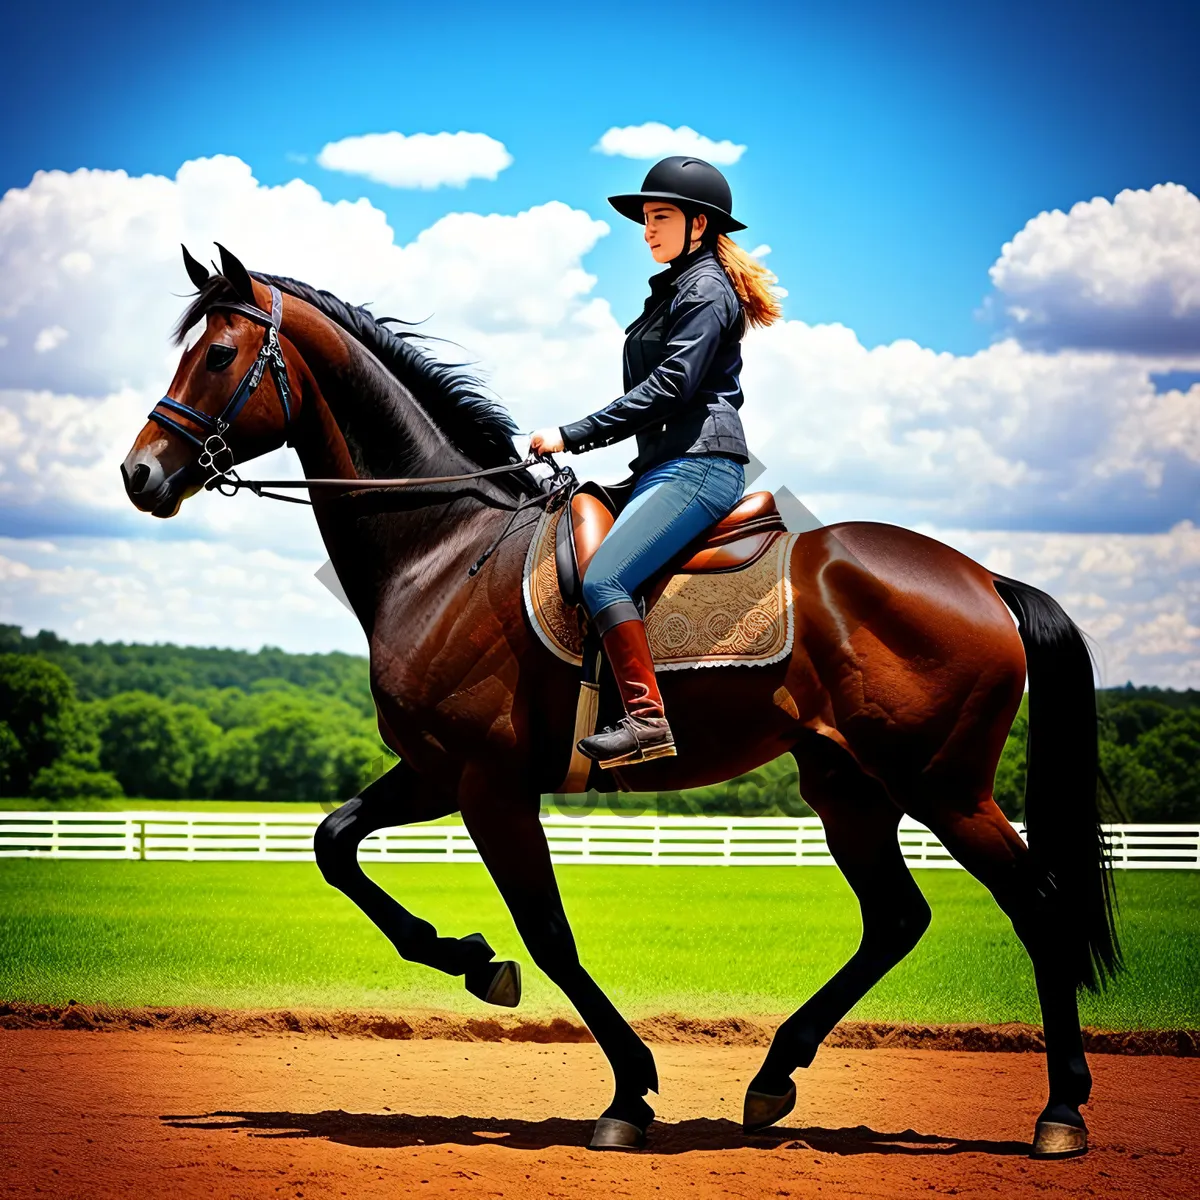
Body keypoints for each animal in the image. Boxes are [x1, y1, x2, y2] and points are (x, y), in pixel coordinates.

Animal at [117, 246, 1118, 1161]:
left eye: (218, 355)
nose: (139, 475)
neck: (444, 550)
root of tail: (980, 577)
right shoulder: (438, 771)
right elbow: (334, 846)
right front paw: (473, 962)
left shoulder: (487, 785)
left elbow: (550, 936)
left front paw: (625, 1091)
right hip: (848, 787)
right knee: (898, 919)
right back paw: (773, 1077)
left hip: (943, 785)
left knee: (1037, 903)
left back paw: (1061, 1112)